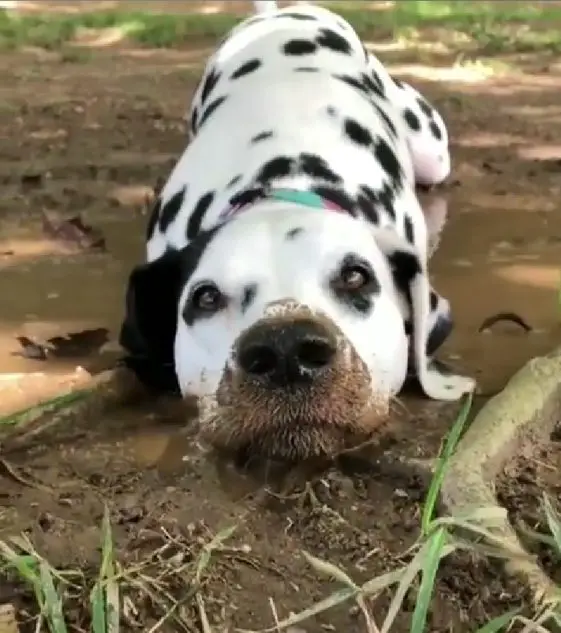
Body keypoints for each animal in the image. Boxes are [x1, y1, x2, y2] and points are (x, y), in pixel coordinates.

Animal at [119, 0, 472, 460]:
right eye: (206, 297)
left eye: (356, 277)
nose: (285, 348)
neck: (282, 182)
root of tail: (278, 13)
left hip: (431, 149)